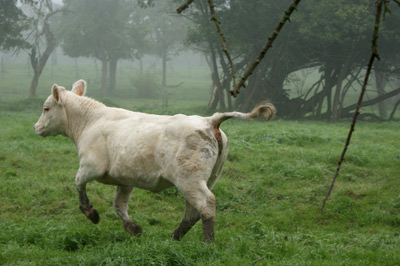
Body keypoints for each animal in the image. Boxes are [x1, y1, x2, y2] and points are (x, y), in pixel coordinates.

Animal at [34, 80, 276, 242]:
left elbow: (78, 183)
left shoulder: (91, 166)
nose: (36, 127)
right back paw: (175, 237)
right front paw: (133, 228)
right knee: (192, 211)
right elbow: (119, 205)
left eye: (46, 108)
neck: (90, 122)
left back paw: (207, 243)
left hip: (189, 179)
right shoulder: (125, 179)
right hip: (206, 178)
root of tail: (210, 120)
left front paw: (91, 214)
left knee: (206, 206)